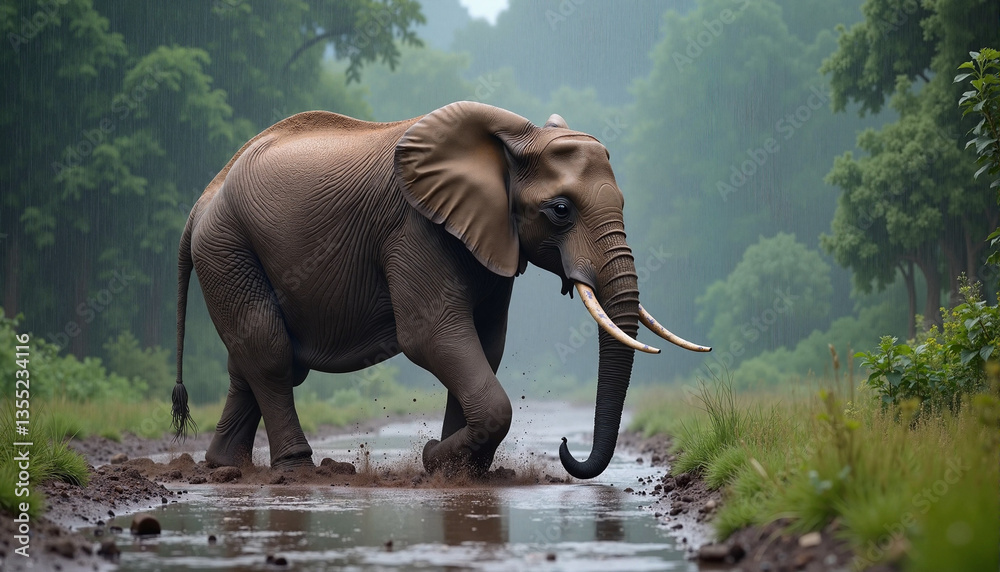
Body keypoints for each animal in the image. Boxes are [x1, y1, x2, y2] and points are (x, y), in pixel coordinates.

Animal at [172, 101, 710, 479]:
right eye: (560, 210)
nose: (564, 448)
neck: (511, 139)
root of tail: (201, 202)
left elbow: (485, 342)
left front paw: (458, 468)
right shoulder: (414, 229)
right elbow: (433, 336)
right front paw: (436, 459)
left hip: (232, 253)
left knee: (252, 359)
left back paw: (225, 465)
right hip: (227, 247)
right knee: (271, 354)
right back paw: (296, 469)